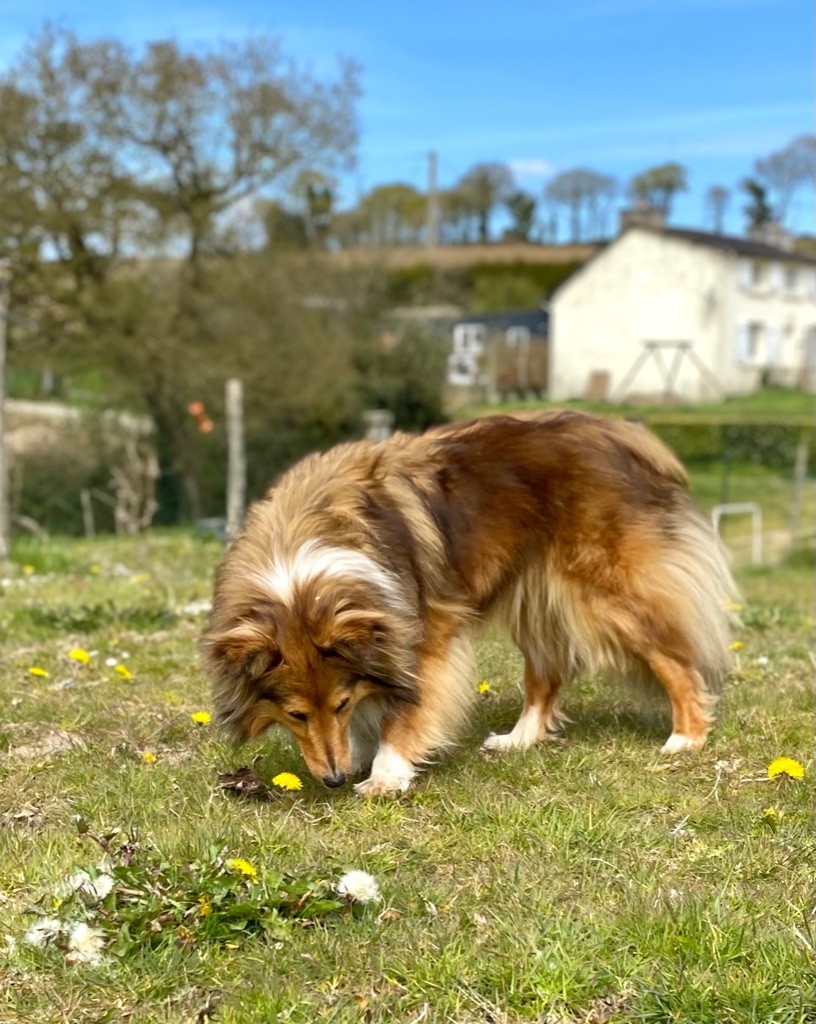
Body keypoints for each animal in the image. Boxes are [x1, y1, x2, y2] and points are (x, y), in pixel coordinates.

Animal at [201, 411, 733, 794]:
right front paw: (360, 755)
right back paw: (519, 740)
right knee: (545, 675)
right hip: (534, 598)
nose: (332, 778)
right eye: (296, 715)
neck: (301, 562)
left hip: (603, 593)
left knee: (674, 659)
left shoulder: (423, 635)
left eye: (341, 702)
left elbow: (407, 708)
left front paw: (385, 774)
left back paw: (686, 737)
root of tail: (623, 434)